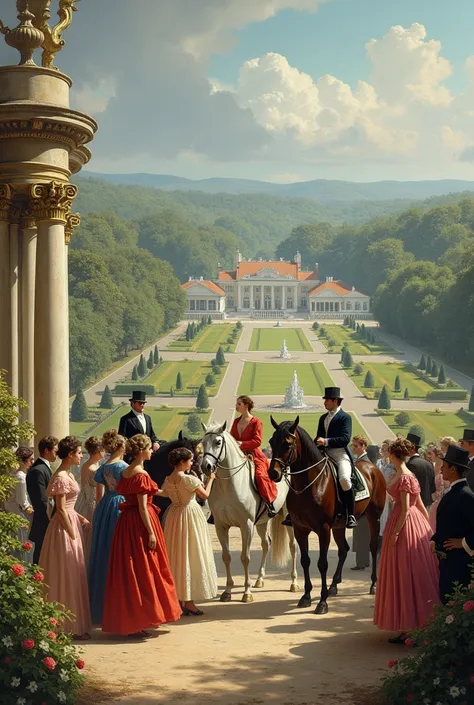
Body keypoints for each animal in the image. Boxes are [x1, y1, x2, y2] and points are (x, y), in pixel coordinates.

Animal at [201, 420, 298, 604]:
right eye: (202, 443)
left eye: (218, 442)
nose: (206, 466)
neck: (229, 485)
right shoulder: (221, 526)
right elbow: (226, 556)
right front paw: (227, 591)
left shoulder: (246, 525)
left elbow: (245, 558)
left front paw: (247, 592)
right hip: (261, 522)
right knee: (266, 543)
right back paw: (260, 579)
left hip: (287, 519)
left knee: (293, 546)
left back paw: (294, 583)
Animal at [268, 416, 386, 612]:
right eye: (271, 441)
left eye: (287, 444)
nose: (273, 473)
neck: (309, 484)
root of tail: (372, 467)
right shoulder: (300, 529)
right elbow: (305, 560)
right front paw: (306, 596)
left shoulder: (323, 529)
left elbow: (322, 563)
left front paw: (322, 602)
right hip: (339, 526)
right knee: (343, 550)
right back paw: (334, 586)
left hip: (374, 517)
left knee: (373, 545)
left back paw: (374, 584)